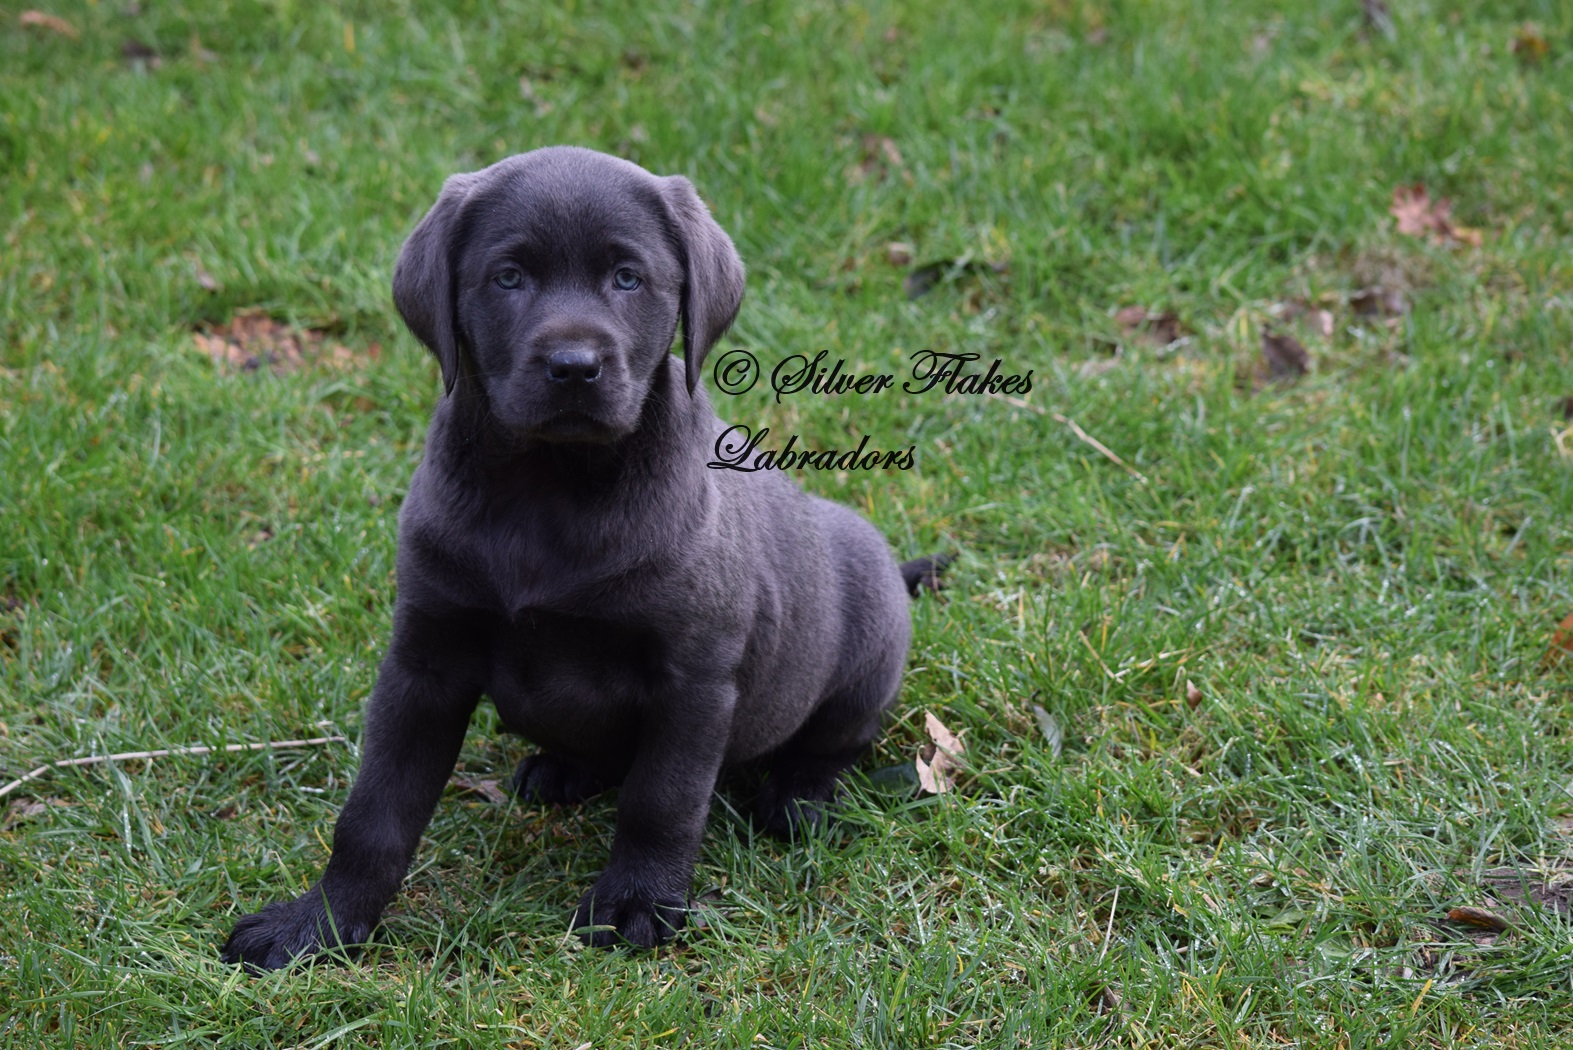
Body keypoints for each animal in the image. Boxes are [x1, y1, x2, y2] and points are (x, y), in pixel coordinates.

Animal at [226, 145, 924, 968]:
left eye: (627, 278)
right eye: (508, 277)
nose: (573, 366)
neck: (549, 487)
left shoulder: (693, 680)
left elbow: (661, 801)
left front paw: (637, 903)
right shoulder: (423, 662)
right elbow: (374, 812)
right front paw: (323, 923)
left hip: (866, 637)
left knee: (830, 745)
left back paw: (796, 801)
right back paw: (561, 769)